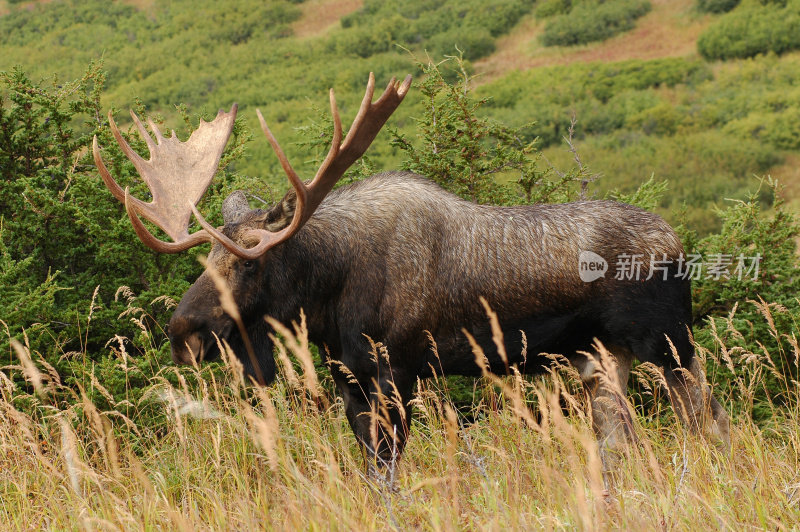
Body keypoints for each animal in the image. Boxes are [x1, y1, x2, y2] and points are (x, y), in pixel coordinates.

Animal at [94, 74, 732, 462]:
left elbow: (390, 469)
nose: (184, 332)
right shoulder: (349, 377)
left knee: (710, 419)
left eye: (253, 261)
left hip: (668, 342)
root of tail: (679, 242)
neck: (330, 297)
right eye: (207, 258)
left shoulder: (397, 370)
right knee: (620, 440)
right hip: (598, 357)